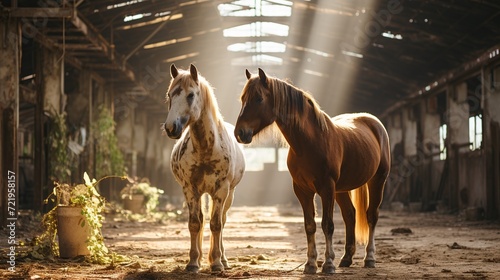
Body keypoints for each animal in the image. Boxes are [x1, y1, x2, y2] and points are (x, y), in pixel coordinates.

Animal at [163, 64, 245, 272]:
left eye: (191, 95)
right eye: (169, 94)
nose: (171, 127)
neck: (206, 148)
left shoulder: (222, 189)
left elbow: (216, 224)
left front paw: (216, 263)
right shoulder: (190, 189)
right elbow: (195, 223)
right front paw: (193, 262)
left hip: (229, 194)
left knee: (222, 221)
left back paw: (223, 259)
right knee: (200, 220)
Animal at [234, 69, 390, 274]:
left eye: (259, 98)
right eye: (243, 98)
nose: (239, 133)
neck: (311, 141)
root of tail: (373, 122)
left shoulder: (326, 188)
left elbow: (327, 225)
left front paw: (328, 264)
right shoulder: (303, 190)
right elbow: (310, 225)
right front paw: (310, 264)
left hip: (377, 180)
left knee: (371, 215)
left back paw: (369, 258)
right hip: (341, 189)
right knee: (350, 215)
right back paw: (346, 258)